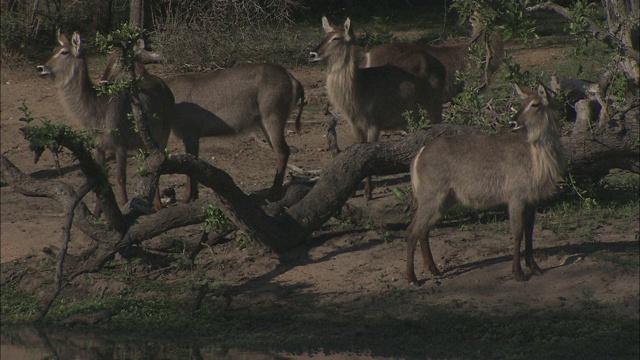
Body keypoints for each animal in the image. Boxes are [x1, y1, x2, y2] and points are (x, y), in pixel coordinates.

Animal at [38, 31, 174, 211]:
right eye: (53, 49)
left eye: (64, 52)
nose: (41, 68)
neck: (96, 110)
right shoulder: (99, 147)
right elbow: (101, 181)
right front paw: (98, 213)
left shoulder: (120, 145)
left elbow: (121, 178)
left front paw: (124, 207)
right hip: (143, 144)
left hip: (162, 138)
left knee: (159, 166)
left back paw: (158, 205)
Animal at [102, 54, 304, 204]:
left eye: (118, 62)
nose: (103, 82)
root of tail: (292, 78)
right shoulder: (192, 137)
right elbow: (194, 164)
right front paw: (194, 196)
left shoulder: (190, 134)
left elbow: (189, 167)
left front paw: (186, 198)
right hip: (263, 124)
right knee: (281, 151)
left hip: (273, 117)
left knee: (283, 151)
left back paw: (274, 194)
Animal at [310, 16, 444, 200]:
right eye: (325, 35)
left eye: (336, 38)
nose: (312, 54)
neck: (360, 89)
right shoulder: (354, 125)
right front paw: (352, 191)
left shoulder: (374, 124)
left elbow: (369, 157)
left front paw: (368, 193)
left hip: (434, 106)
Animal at [404, 83, 564, 284]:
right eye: (522, 103)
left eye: (534, 104)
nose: (512, 123)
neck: (536, 154)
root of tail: (419, 153)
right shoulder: (516, 198)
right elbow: (518, 233)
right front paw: (518, 272)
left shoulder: (531, 200)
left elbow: (530, 232)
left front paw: (534, 267)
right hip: (430, 198)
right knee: (411, 232)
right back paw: (412, 278)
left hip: (444, 201)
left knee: (423, 231)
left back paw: (435, 270)